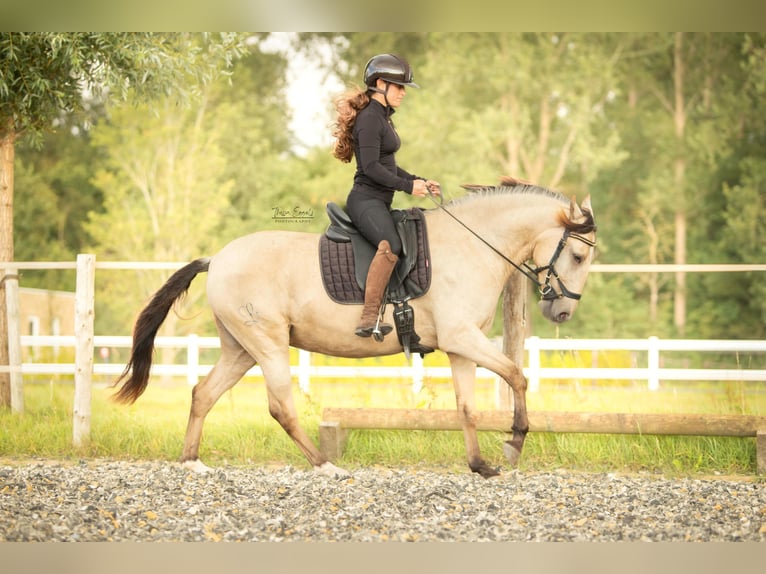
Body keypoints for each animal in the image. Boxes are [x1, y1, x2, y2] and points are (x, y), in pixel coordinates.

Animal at [112, 180, 600, 482]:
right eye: (577, 256)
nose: (561, 312)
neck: (470, 246)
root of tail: (217, 258)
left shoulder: (461, 347)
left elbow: (467, 407)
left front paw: (480, 464)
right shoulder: (462, 338)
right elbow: (517, 374)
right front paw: (514, 442)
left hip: (240, 348)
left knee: (203, 394)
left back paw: (192, 463)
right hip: (267, 345)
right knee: (281, 407)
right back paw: (328, 467)